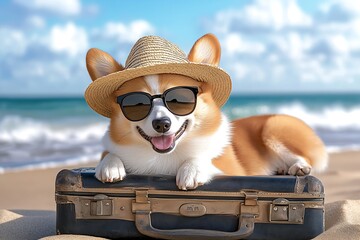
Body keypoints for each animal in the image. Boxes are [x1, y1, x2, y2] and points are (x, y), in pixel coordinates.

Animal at [85, 34, 330, 191]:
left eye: (179, 99)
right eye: (136, 104)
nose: (162, 124)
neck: (163, 157)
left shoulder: (230, 170)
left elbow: (202, 157)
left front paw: (191, 170)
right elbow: (108, 153)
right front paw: (109, 166)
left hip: (273, 126)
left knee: (304, 156)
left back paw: (298, 167)